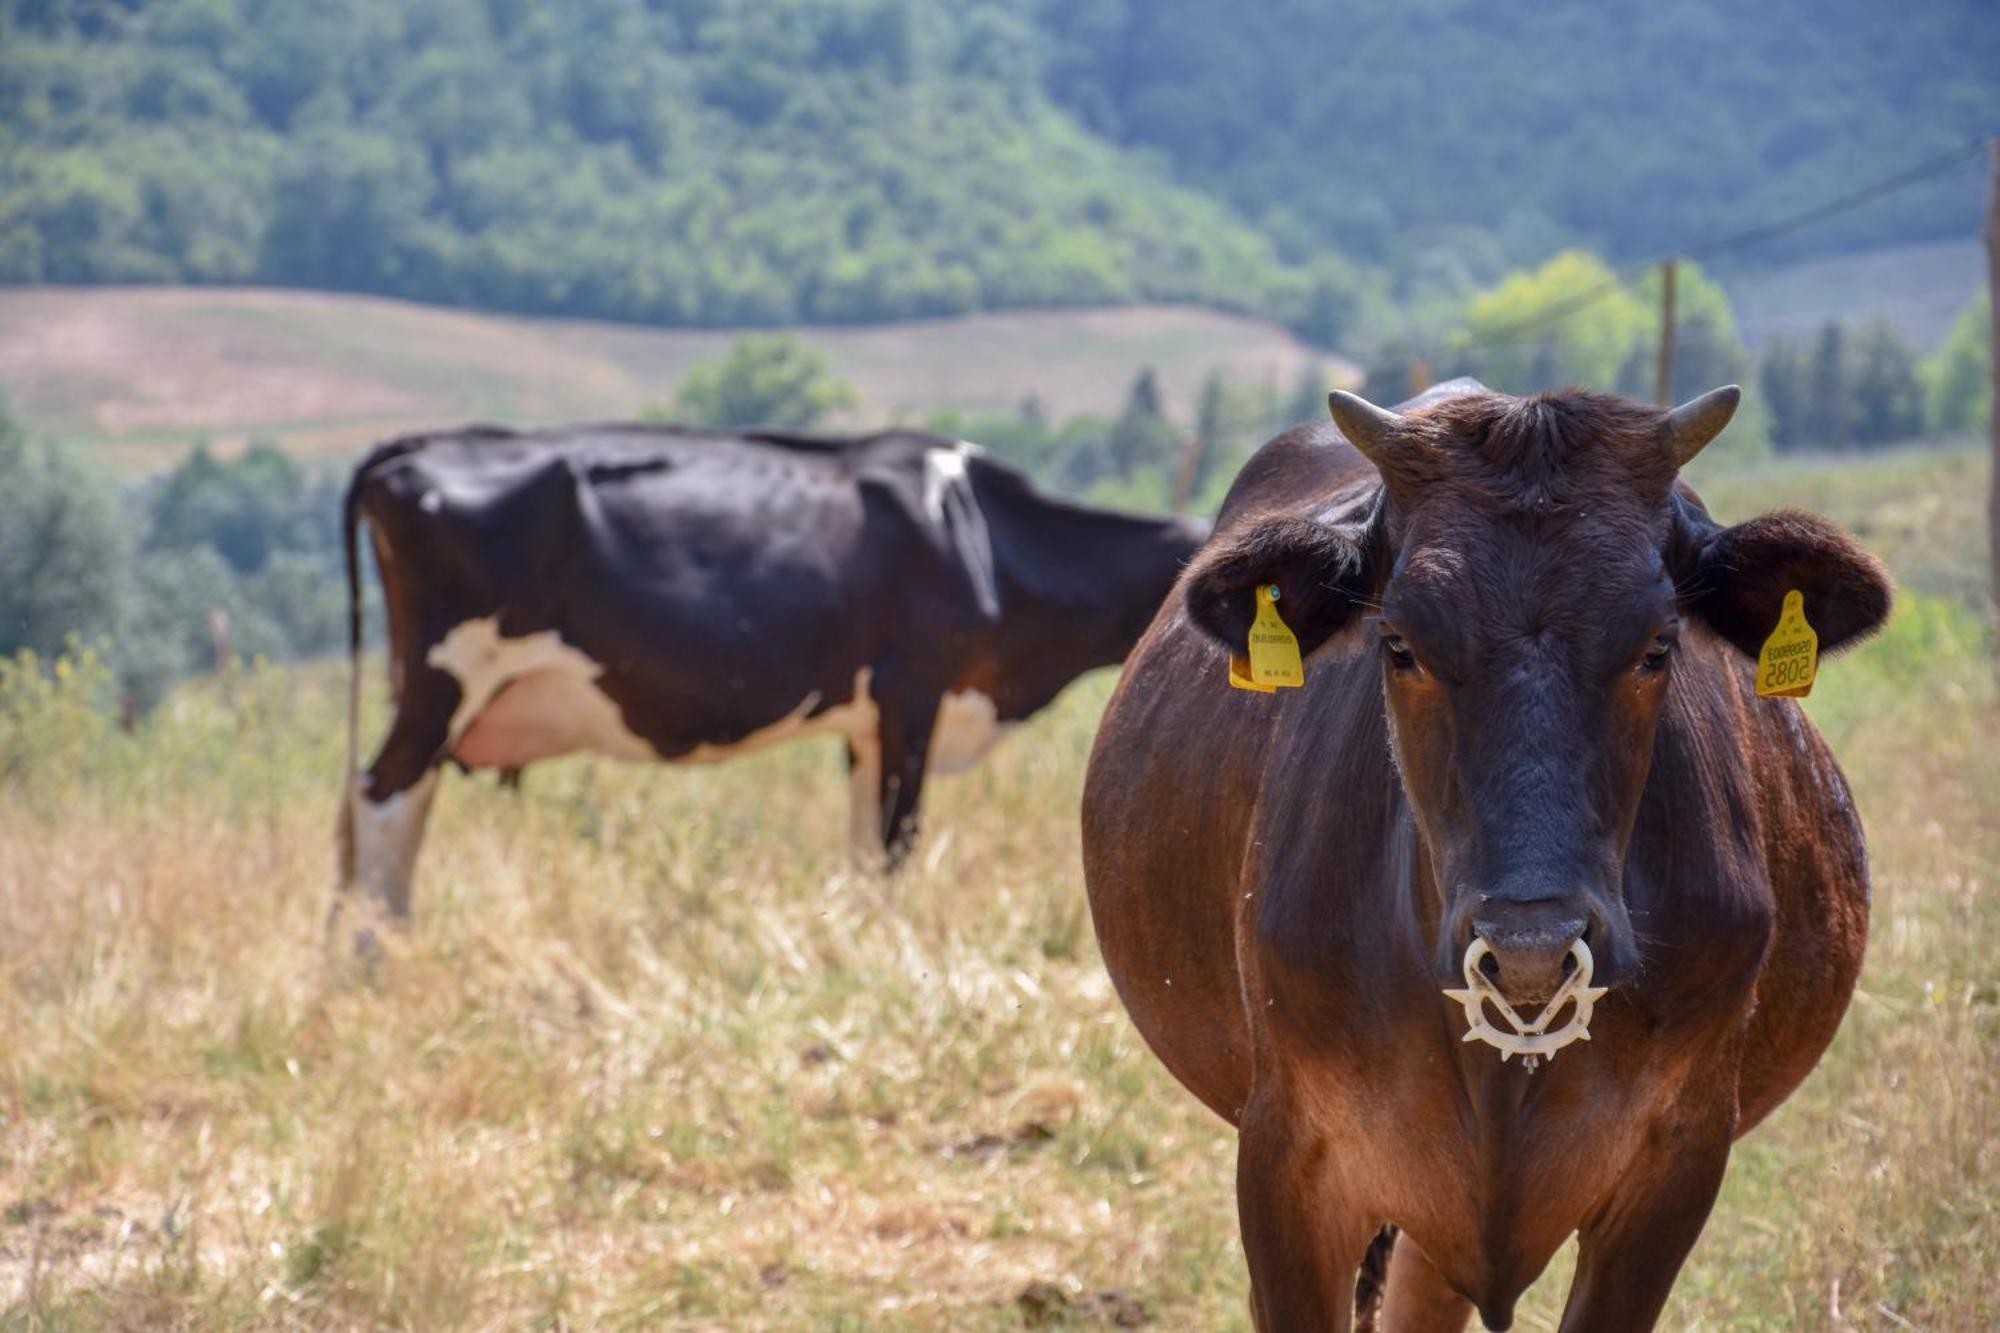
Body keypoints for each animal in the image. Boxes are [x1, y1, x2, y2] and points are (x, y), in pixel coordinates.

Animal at [334, 422, 1200, 912]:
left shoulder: (868, 724)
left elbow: (864, 851)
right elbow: (895, 847)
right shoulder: (912, 691)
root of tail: (417, 444)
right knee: (384, 799)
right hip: (447, 677)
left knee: (369, 807)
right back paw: (377, 958)